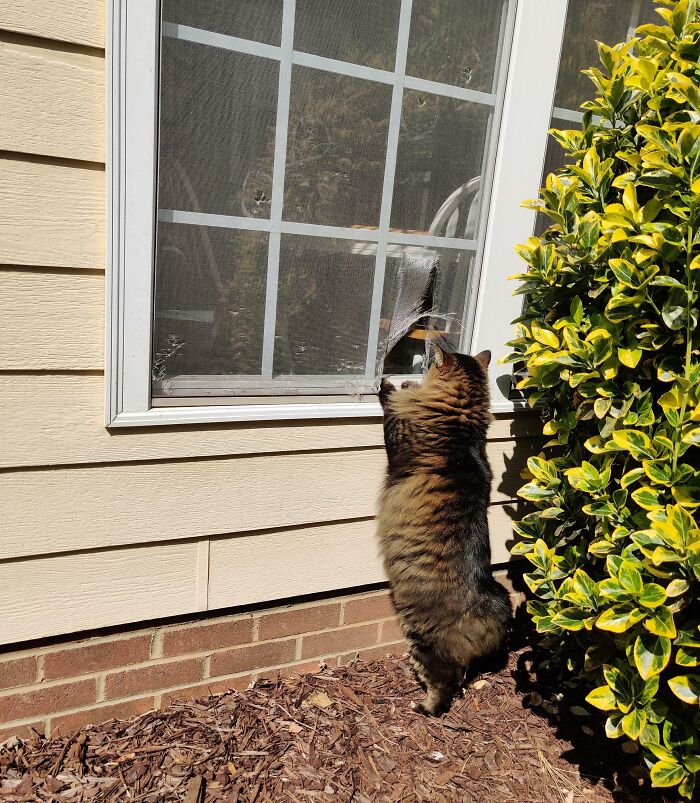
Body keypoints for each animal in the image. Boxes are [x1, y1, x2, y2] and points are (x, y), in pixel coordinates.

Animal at [378, 346, 508, 716]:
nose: (423, 359)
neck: (462, 428)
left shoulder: (398, 434)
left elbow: (390, 404)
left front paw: (389, 383)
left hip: (423, 639)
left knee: (443, 685)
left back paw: (423, 708)